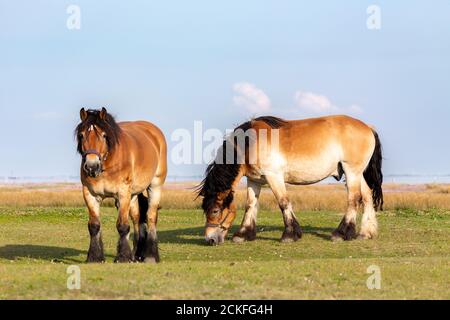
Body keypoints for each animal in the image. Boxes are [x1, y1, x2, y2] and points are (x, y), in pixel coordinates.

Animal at [75, 107, 167, 262]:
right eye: (81, 135)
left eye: (104, 135)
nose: (91, 166)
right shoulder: (90, 194)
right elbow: (94, 226)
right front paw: (95, 257)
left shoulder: (123, 193)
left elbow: (123, 225)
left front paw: (123, 257)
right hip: (133, 194)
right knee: (136, 218)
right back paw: (137, 254)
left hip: (155, 185)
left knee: (150, 217)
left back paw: (150, 255)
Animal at [198, 115, 384, 245]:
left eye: (215, 211)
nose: (210, 239)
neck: (250, 144)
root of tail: (368, 127)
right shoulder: (254, 181)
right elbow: (250, 205)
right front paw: (243, 234)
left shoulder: (274, 176)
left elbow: (283, 202)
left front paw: (289, 234)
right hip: (358, 174)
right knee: (367, 196)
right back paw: (365, 233)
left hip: (351, 172)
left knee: (354, 200)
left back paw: (341, 233)